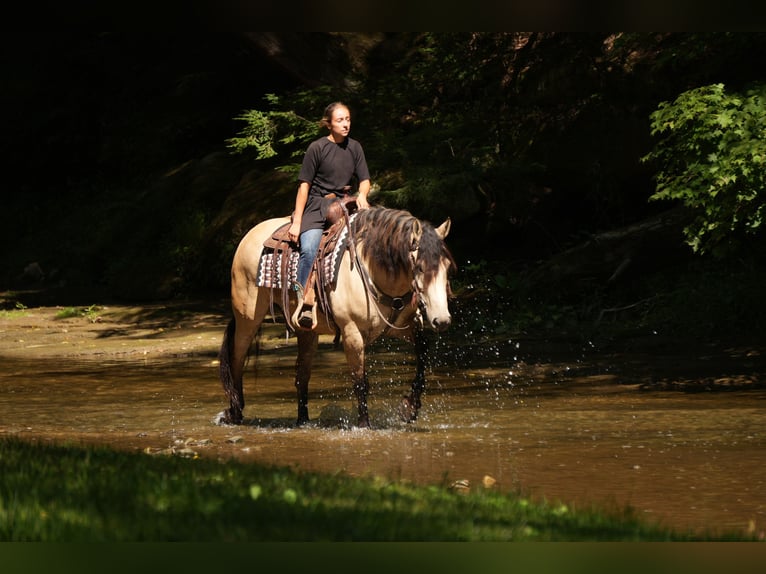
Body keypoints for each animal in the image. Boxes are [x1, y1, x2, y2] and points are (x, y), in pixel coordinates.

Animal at [216, 205, 455, 428]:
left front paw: (409, 408)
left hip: (306, 331)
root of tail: (249, 235)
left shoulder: (402, 328)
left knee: (302, 373)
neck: (372, 269)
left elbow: (423, 354)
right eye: (420, 267)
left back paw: (303, 420)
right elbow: (360, 380)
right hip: (248, 318)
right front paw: (364, 424)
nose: (442, 320)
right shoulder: (352, 332)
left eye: (447, 267)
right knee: (237, 359)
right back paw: (234, 412)